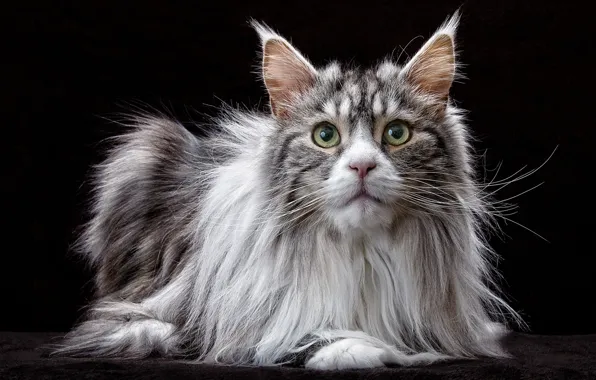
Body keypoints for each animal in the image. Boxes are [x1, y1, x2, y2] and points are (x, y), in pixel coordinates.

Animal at [53, 11, 524, 368]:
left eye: (396, 133)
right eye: (325, 136)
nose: (362, 165)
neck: (362, 253)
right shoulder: (147, 319)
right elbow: (277, 337)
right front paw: (359, 348)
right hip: (142, 149)